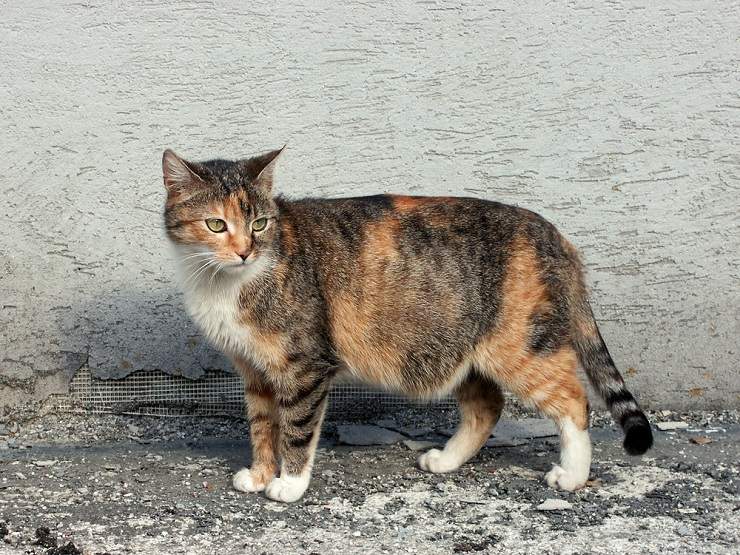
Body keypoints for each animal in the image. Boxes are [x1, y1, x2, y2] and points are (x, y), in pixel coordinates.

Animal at [162, 147, 652, 504]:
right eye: (216, 224)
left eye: (260, 223)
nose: (245, 250)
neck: (225, 283)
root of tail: (556, 235)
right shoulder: (255, 371)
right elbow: (263, 426)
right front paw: (261, 474)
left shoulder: (303, 367)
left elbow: (296, 430)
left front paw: (288, 484)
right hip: (456, 346)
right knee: (487, 406)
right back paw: (446, 461)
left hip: (518, 347)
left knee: (574, 402)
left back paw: (571, 474)